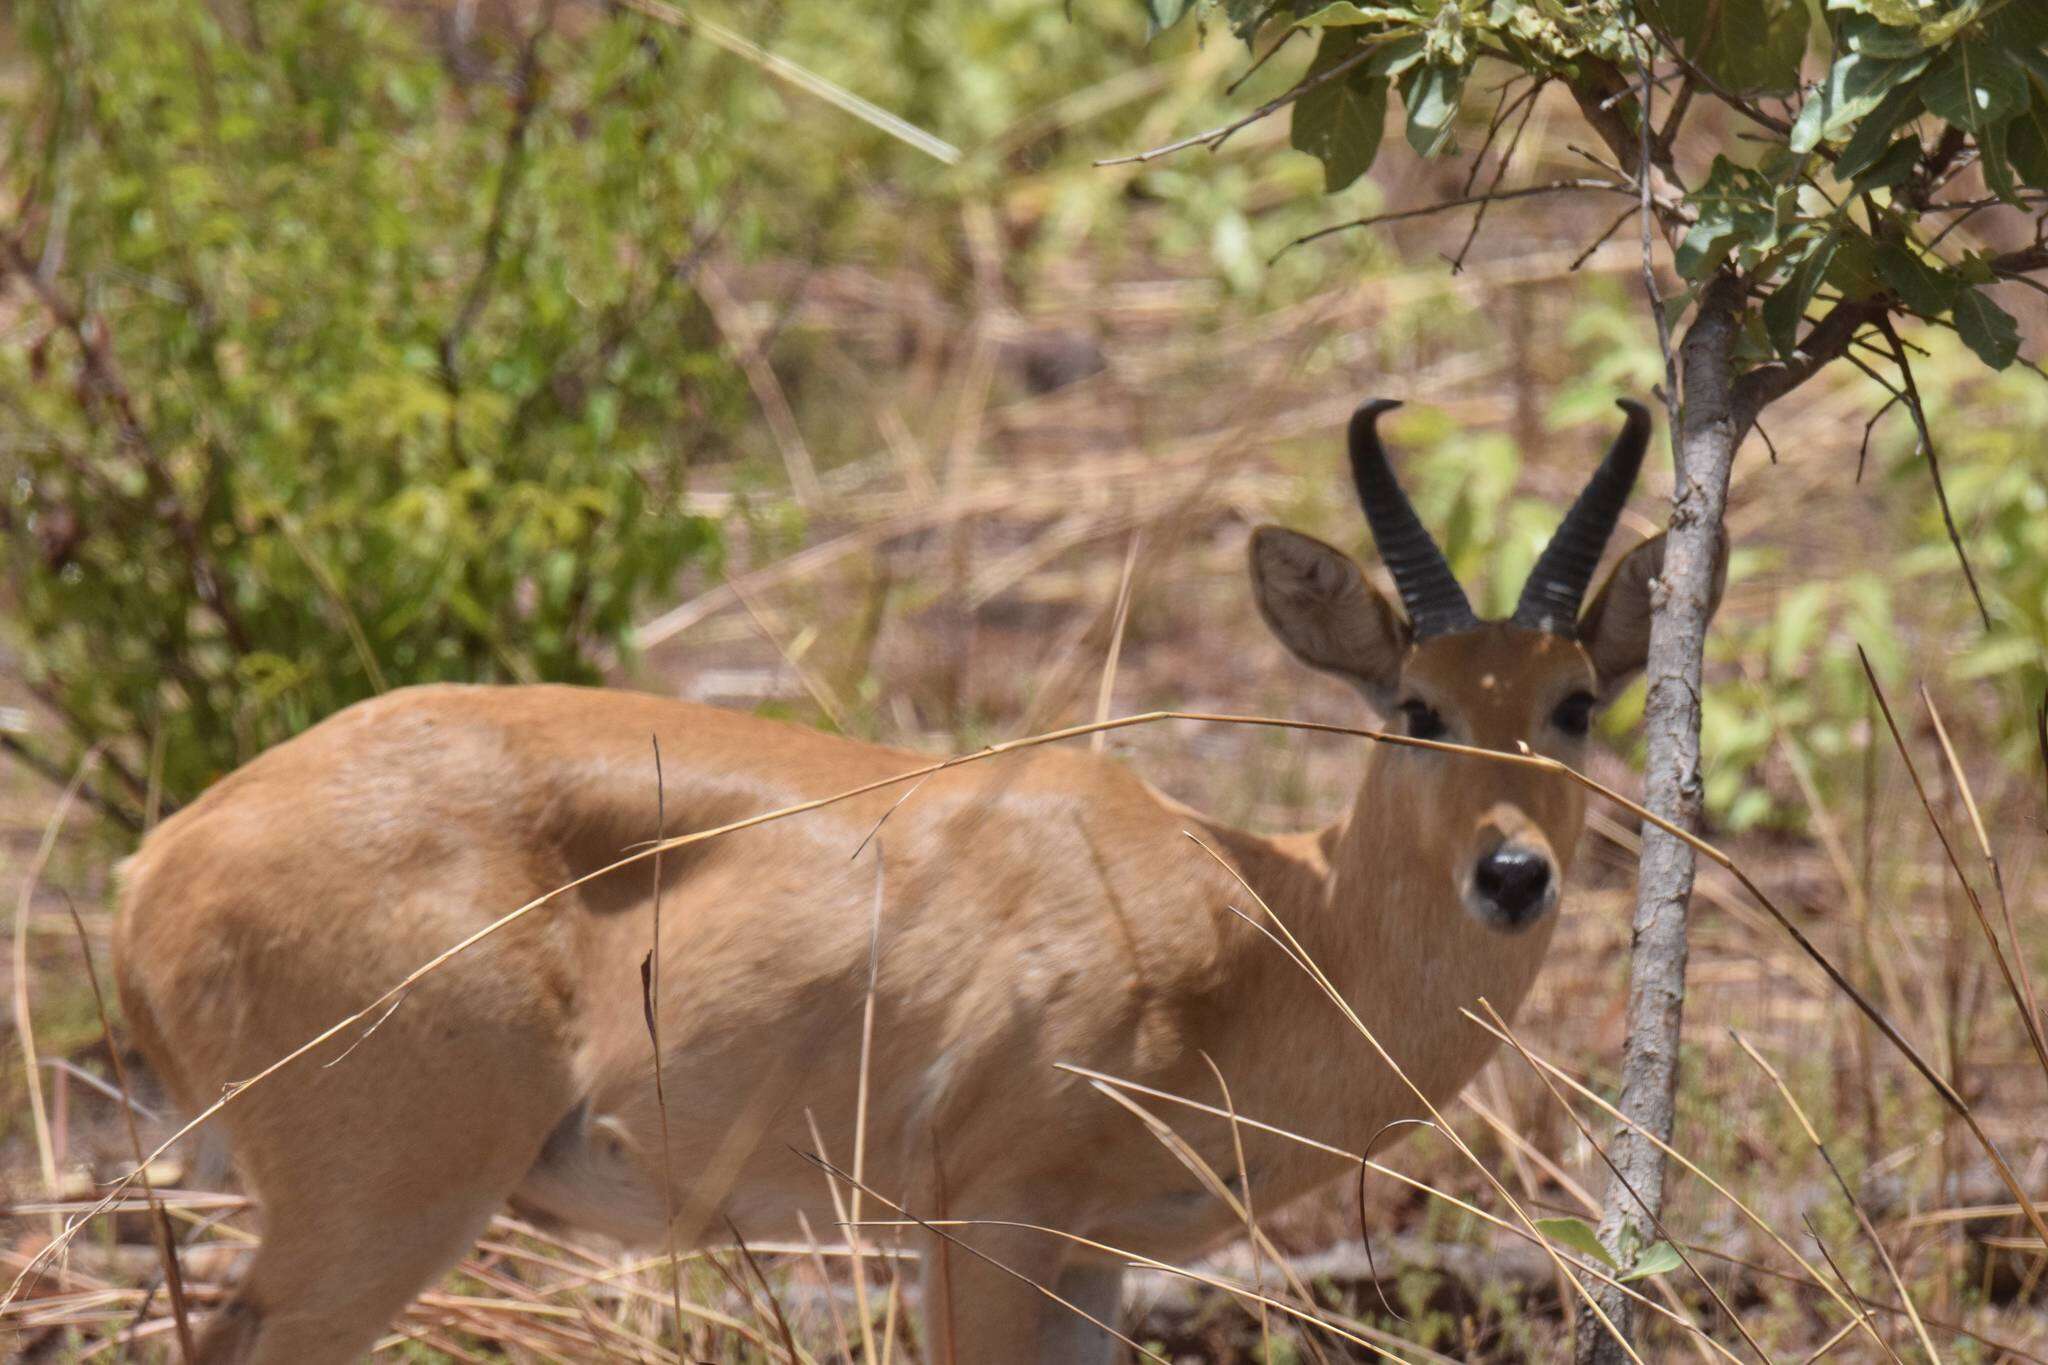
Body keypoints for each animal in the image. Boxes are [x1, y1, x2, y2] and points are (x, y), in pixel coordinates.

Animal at [116, 397, 1712, 1365]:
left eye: (1576, 700)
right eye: (1417, 706)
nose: (1511, 874)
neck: (1261, 927)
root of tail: (161, 864)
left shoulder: (1092, 1258)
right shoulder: (983, 1225)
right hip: (380, 1216)